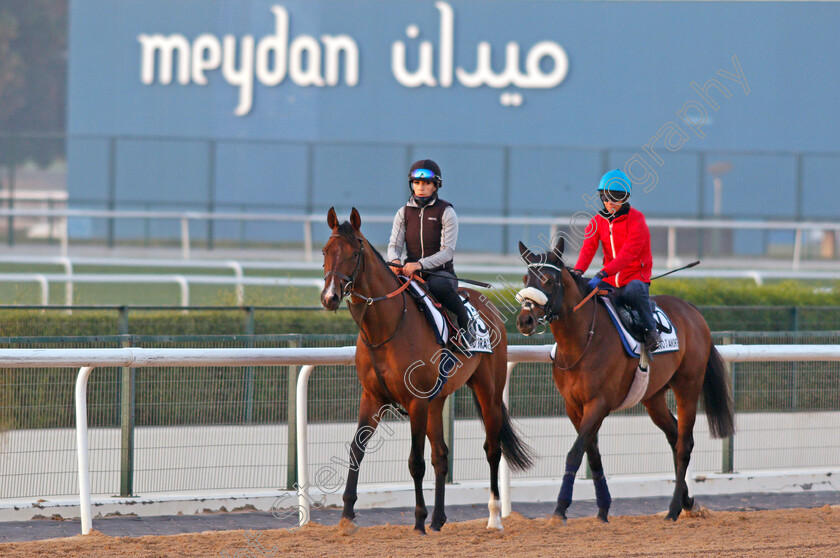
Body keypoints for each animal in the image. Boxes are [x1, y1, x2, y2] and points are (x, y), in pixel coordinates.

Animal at [322, 208, 532, 536]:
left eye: (354, 252)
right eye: (325, 251)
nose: (329, 296)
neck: (388, 327)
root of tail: (490, 308)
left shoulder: (416, 402)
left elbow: (415, 462)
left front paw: (418, 519)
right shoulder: (372, 397)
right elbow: (357, 449)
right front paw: (346, 515)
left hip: (488, 390)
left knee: (492, 448)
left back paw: (494, 517)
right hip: (438, 399)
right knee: (441, 455)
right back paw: (438, 519)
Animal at [516, 240, 732, 524]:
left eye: (549, 281)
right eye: (525, 279)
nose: (525, 320)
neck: (582, 341)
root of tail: (692, 310)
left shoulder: (599, 403)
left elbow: (575, 452)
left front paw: (560, 509)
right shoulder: (574, 406)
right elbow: (592, 454)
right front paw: (602, 509)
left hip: (688, 386)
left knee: (684, 444)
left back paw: (674, 508)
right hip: (654, 397)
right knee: (674, 436)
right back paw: (687, 501)